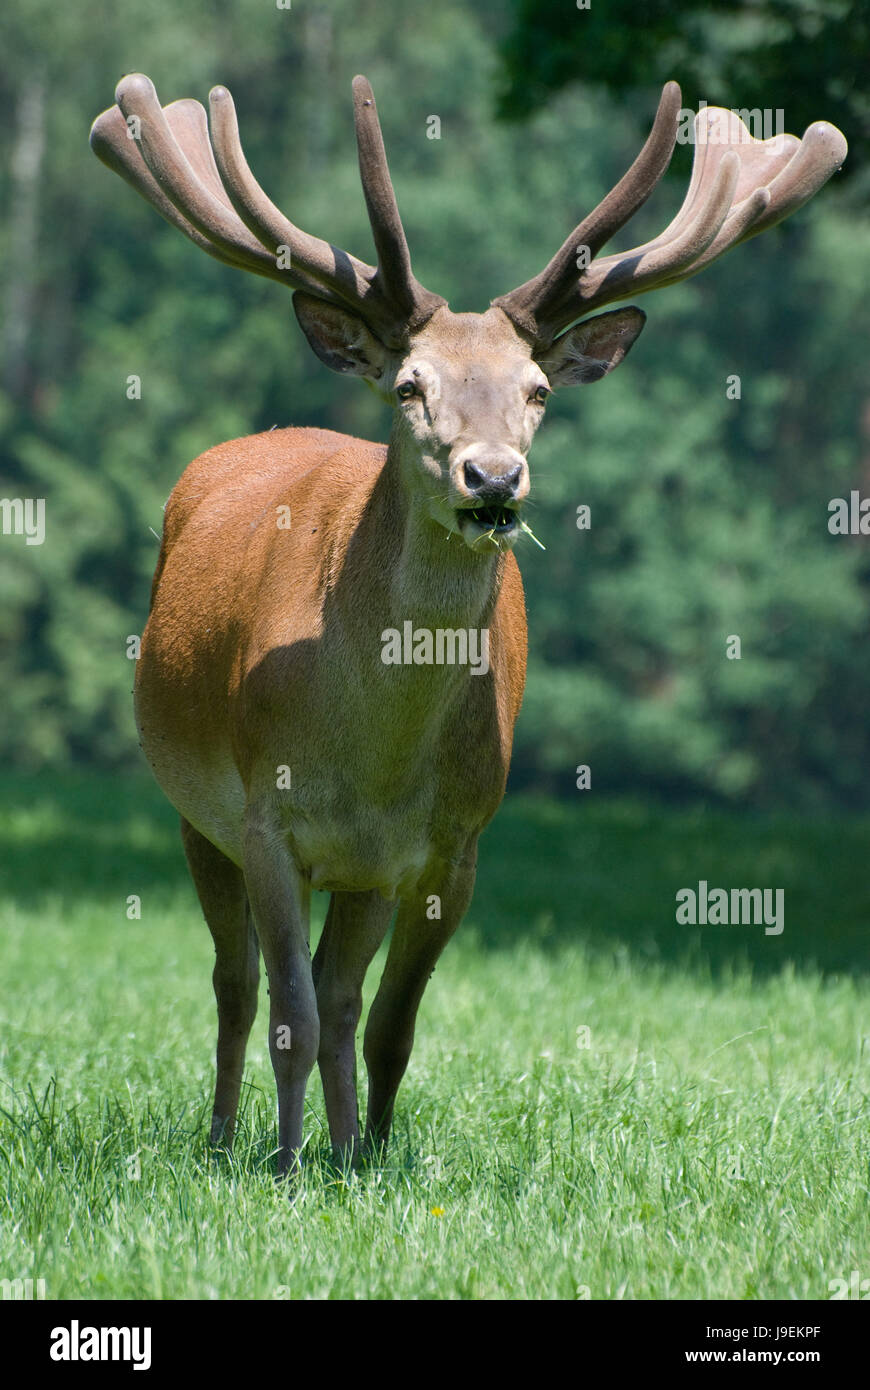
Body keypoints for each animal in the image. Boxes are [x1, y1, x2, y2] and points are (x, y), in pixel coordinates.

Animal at [89, 73, 839, 1173]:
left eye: (537, 391)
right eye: (411, 385)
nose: (493, 478)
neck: (374, 756)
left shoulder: (452, 845)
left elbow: (388, 1023)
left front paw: (364, 1159)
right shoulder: (268, 816)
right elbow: (287, 1015)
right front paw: (284, 1169)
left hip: (359, 870)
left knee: (341, 995)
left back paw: (337, 1145)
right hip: (198, 811)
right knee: (238, 988)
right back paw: (230, 1140)